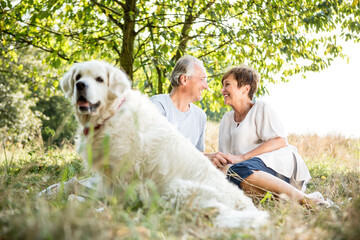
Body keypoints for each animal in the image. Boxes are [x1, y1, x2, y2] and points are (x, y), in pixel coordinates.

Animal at [60, 60, 268, 229]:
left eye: (100, 79)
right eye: (78, 77)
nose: (80, 85)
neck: (111, 114)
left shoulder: (123, 169)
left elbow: (118, 196)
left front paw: (107, 212)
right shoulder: (108, 171)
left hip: (177, 188)